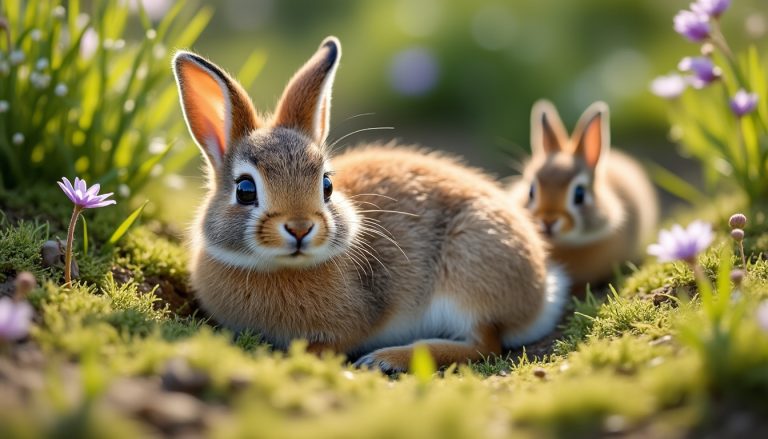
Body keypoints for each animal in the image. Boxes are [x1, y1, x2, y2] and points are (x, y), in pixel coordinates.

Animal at [172, 36, 569, 373]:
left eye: (327, 185)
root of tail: (541, 293)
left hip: (467, 274)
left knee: (485, 343)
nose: (300, 228)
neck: (279, 267)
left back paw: (386, 359)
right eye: (244, 190)